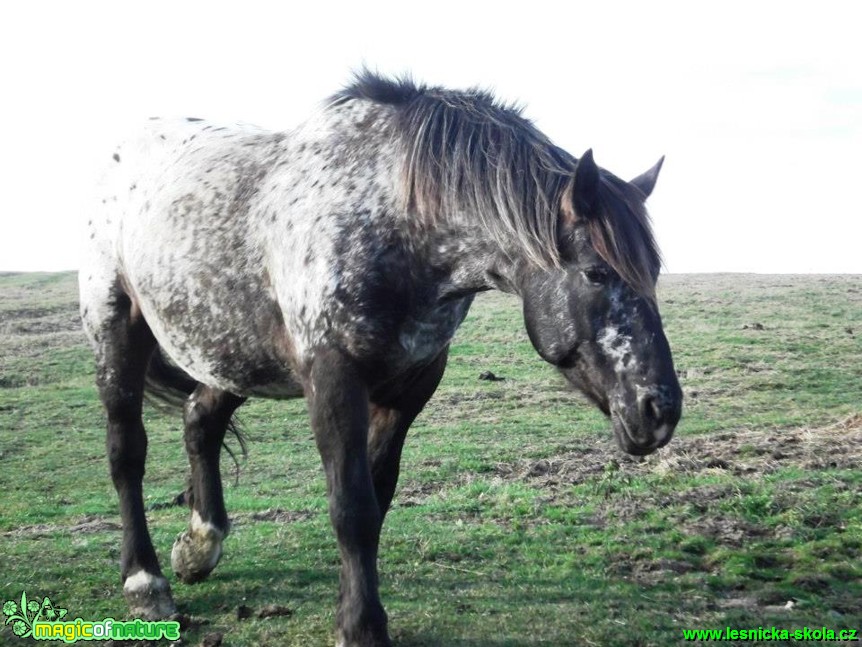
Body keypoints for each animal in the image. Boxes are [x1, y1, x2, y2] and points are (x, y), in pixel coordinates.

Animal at [82, 71, 688, 647]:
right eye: (597, 272)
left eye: (653, 272)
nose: (660, 410)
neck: (394, 223)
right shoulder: (333, 380)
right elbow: (352, 506)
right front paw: (361, 626)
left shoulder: (408, 389)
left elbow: (376, 498)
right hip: (117, 331)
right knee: (126, 452)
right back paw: (145, 581)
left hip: (233, 348)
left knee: (200, 421)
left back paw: (198, 546)